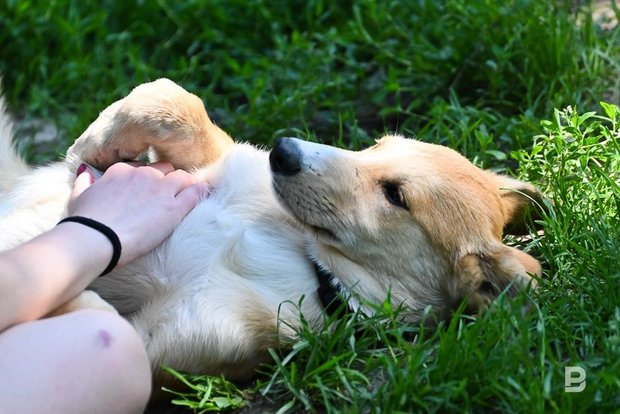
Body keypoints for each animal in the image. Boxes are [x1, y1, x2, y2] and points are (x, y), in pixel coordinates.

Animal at [0, 79, 543, 384]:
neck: (299, 255)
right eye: (377, 144)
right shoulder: (218, 163)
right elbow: (176, 100)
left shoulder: (163, 346)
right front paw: (96, 142)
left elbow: (95, 316)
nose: (283, 151)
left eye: (396, 196)